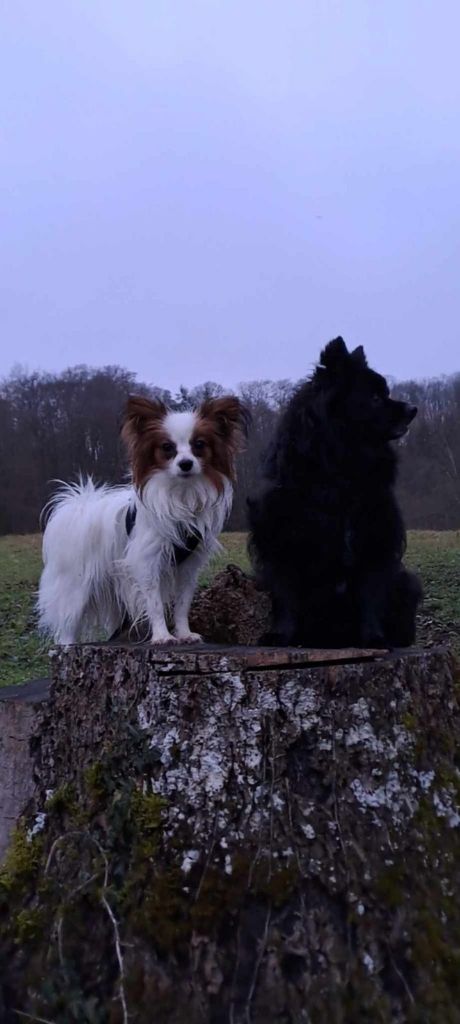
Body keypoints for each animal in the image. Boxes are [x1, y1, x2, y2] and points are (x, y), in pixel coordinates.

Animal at [37, 395, 248, 643]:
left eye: (199, 445)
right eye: (167, 448)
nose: (185, 464)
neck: (181, 494)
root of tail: (79, 507)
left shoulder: (188, 566)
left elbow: (182, 604)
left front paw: (184, 633)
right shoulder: (147, 561)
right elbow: (154, 603)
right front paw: (162, 636)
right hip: (76, 588)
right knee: (66, 629)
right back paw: (68, 646)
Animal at [247, 337, 420, 647]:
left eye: (385, 392)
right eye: (375, 398)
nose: (413, 409)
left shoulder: (375, 536)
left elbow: (369, 593)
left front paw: (374, 637)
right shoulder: (279, 538)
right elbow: (284, 593)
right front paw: (279, 634)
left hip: (407, 582)